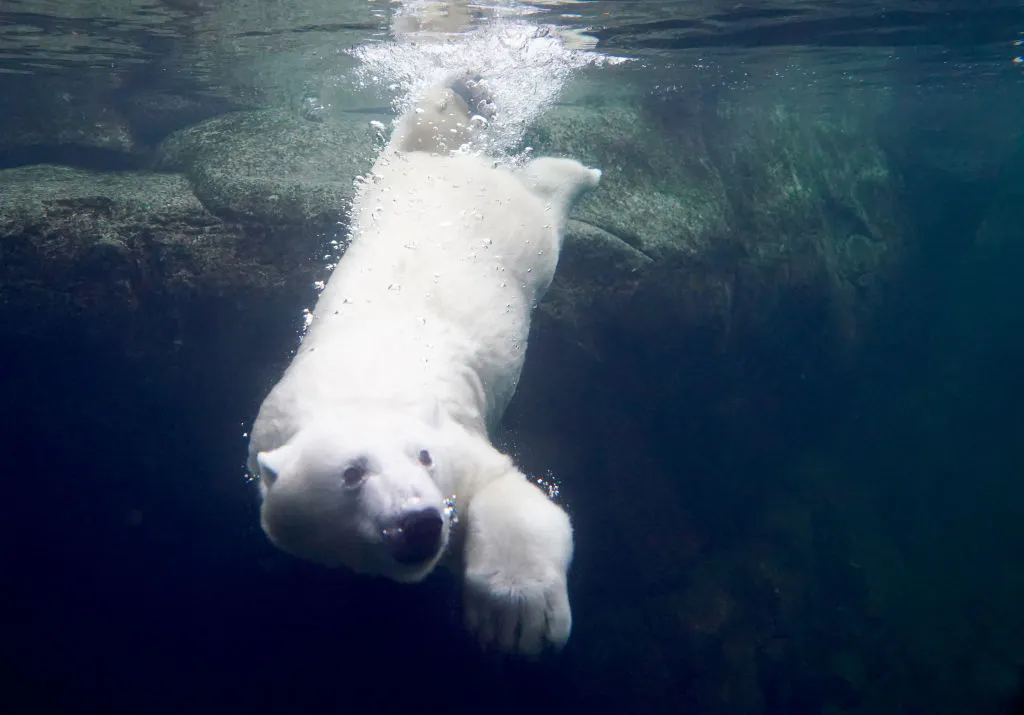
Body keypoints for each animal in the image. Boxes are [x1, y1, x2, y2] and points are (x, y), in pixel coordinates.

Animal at [247, 76, 598, 651]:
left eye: (425, 456)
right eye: (352, 473)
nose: (421, 522)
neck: (361, 390)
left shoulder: (459, 442)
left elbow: (505, 490)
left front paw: (515, 616)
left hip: (511, 231)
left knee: (540, 204)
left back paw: (577, 170)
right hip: (380, 183)